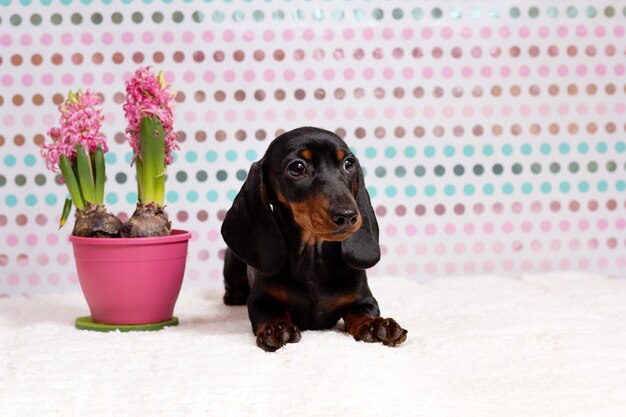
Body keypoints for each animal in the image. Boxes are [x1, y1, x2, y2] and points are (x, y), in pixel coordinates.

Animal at [219, 127, 404, 352]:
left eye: (348, 164)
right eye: (297, 168)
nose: (348, 216)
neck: (313, 257)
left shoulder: (365, 299)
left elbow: (361, 312)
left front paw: (376, 325)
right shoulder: (260, 300)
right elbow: (271, 311)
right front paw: (277, 327)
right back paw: (234, 295)